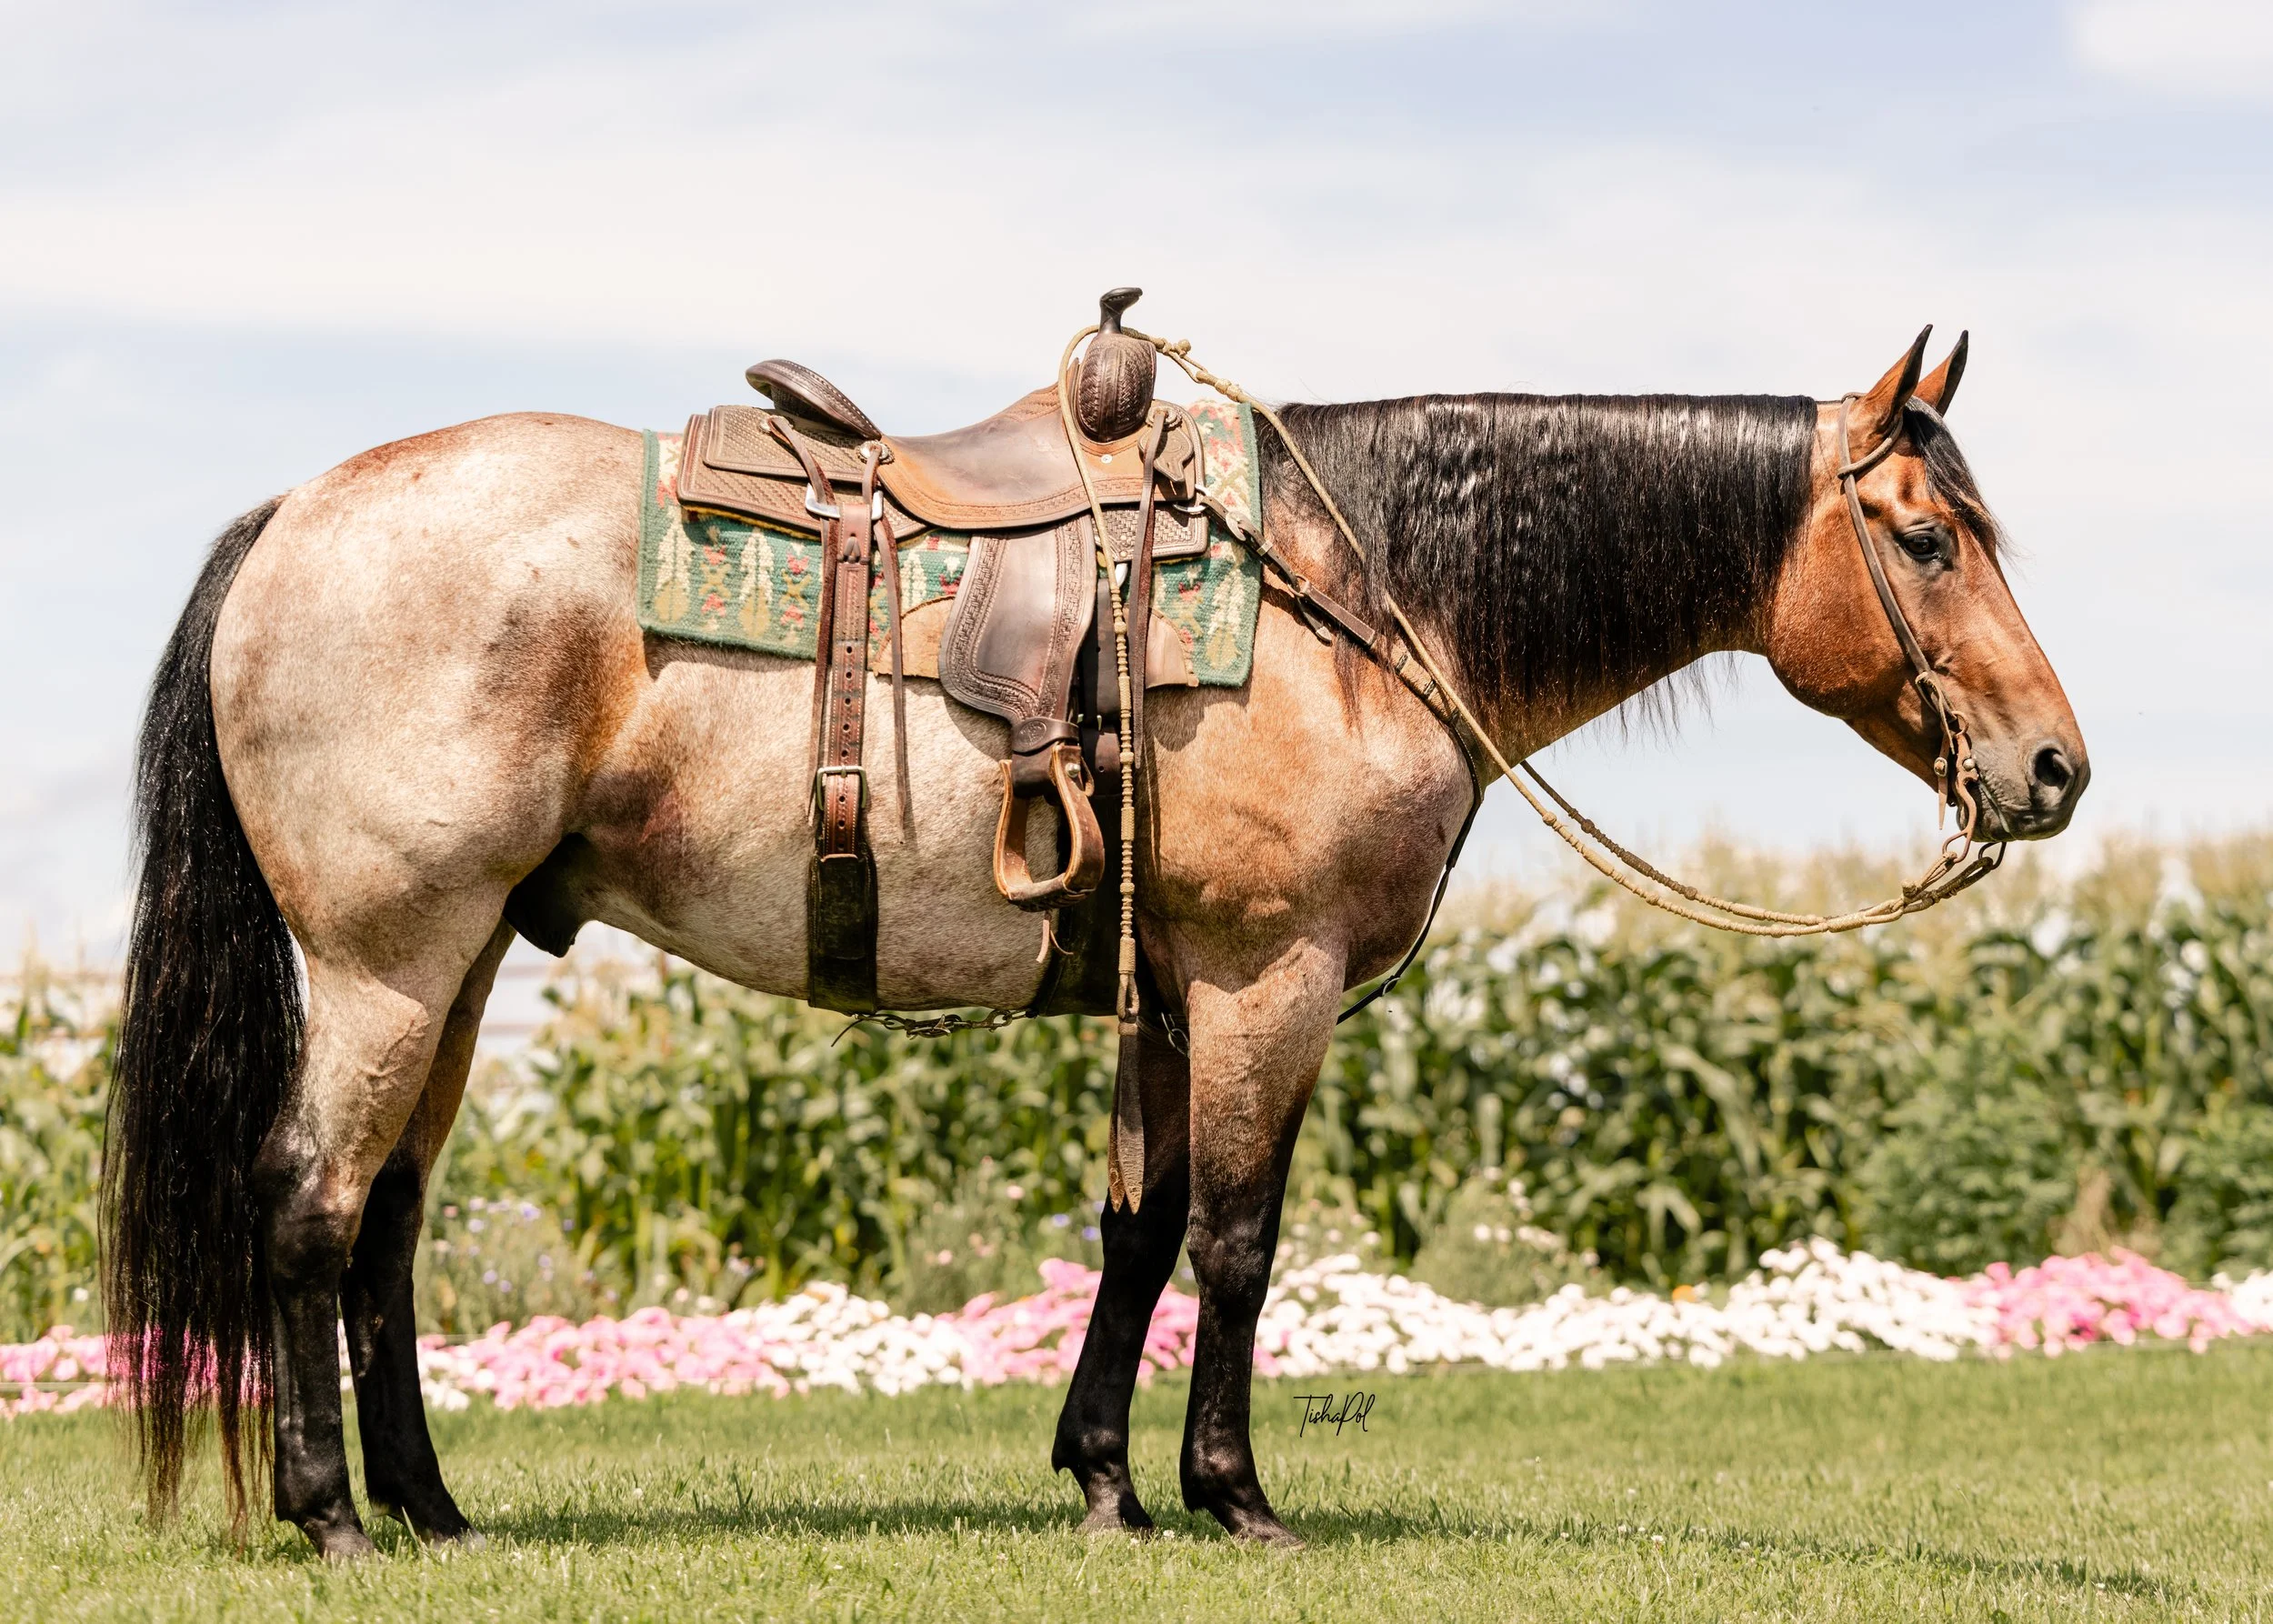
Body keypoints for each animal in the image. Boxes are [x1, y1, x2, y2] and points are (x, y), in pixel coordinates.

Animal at [104, 325, 2086, 1556]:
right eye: (1924, 533)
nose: (2053, 765)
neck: (1356, 600)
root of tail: (290, 520)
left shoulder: (1167, 986)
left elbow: (1135, 1229)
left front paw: (1104, 1483)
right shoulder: (1269, 979)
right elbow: (1237, 1237)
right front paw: (1232, 1492)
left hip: (456, 970)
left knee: (387, 1227)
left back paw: (435, 1507)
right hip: (386, 959)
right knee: (306, 1204)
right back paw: (332, 1513)